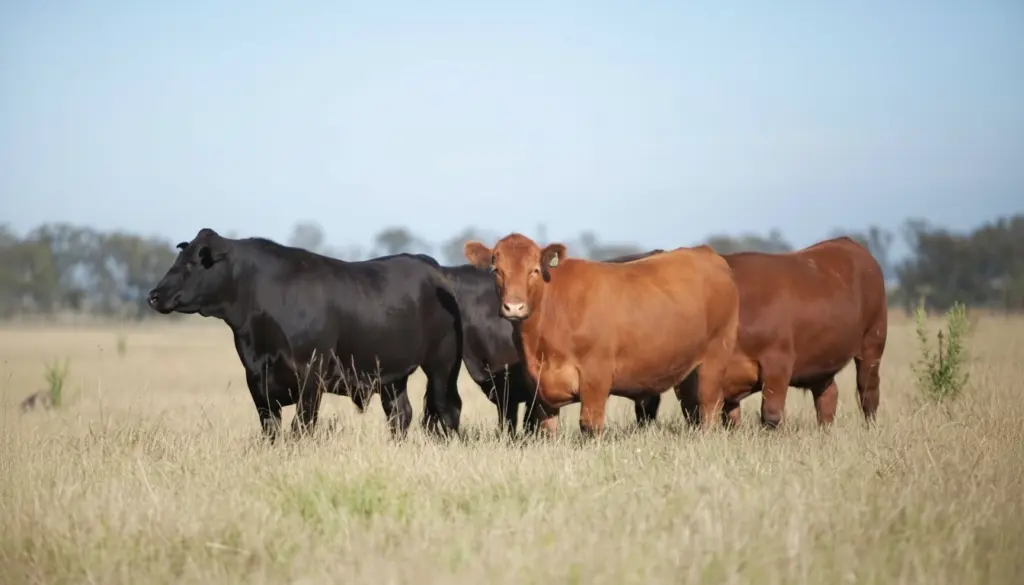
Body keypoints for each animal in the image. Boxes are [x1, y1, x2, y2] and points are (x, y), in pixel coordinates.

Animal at [146, 228, 464, 443]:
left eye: (192, 264)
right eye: (178, 260)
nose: (154, 295)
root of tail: (427, 264)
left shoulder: (312, 374)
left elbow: (301, 427)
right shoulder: (256, 377)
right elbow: (270, 429)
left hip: (443, 364)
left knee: (447, 408)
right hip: (390, 374)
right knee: (400, 414)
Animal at [463, 233, 740, 437]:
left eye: (534, 270)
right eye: (497, 270)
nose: (514, 307)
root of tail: (704, 252)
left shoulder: (596, 377)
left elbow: (590, 425)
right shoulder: (539, 386)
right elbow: (547, 428)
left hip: (715, 358)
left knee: (709, 408)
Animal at [668, 236, 888, 429]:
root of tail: (847, 242)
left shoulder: (778, 360)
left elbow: (771, 413)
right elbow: (727, 417)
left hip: (873, 341)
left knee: (868, 392)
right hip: (823, 359)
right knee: (828, 396)